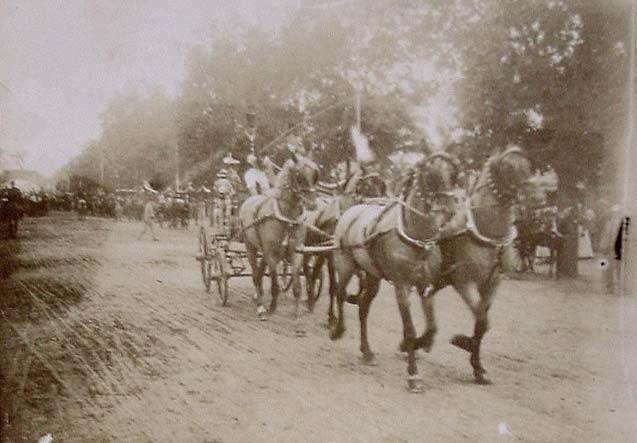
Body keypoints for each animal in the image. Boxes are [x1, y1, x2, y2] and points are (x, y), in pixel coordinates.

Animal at [237, 154, 320, 332]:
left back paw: (259, 296)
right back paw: (260, 306)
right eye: (298, 175)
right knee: (255, 273)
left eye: (315, 175)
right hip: (250, 246)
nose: (312, 204)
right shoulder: (271, 254)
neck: (286, 218)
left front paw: (297, 319)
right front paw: (271, 308)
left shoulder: (296, 253)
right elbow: (274, 283)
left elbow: (297, 287)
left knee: (259, 273)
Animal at [328, 153, 458, 392]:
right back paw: (337, 329)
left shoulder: (425, 286)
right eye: (430, 177)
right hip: (345, 264)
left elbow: (432, 327)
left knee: (363, 308)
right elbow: (410, 329)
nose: (450, 209)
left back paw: (367, 351)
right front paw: (413, 374)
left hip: (372, 275)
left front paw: (419, 345)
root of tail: (352, 212)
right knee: (340, 293)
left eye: (454, 175)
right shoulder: (402, 286)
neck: (416, 239)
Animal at [418, 146, 540, 386]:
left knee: (427, 299)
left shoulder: (492, 283)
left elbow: (481, 322)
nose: (535, 197)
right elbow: (482, 320)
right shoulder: (463, 282)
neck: (488, 234)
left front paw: (478, 368)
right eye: (509, 168)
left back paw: (424, 341)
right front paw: (463, 342)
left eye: (528, 167)